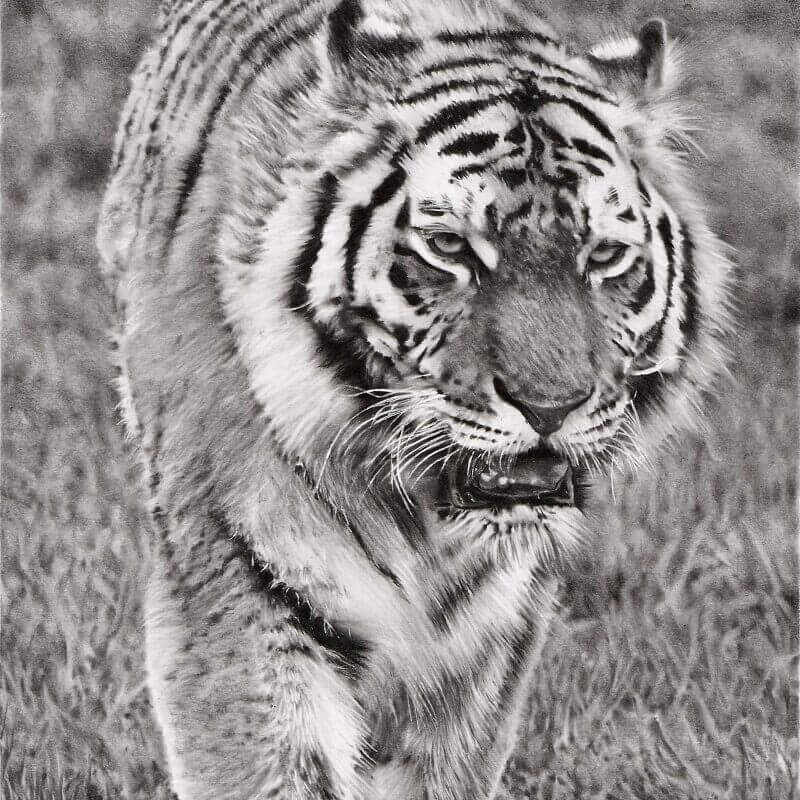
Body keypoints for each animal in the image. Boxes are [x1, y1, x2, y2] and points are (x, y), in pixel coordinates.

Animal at [97, 1, 732, 798]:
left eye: (605, 257)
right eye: (451, 248)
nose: (550, 407)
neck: (426, 526)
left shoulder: (492, 645)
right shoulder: (234, 576)